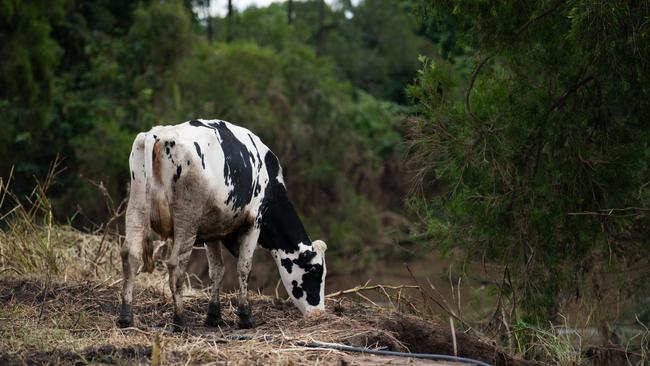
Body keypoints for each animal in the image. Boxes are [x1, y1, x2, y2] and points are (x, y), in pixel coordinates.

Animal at [117, 119, 324, 328]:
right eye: (315, 271)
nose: (319, 313)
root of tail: (160, 135)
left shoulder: (212, 229)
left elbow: (217, 270)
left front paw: (214, 315)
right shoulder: (254, 222)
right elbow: (244, 267)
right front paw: (245, 316)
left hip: (136, 206)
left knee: (131, 255)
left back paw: (126, 317)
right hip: (187, 219)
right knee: (175, 264)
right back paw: (180, 320)